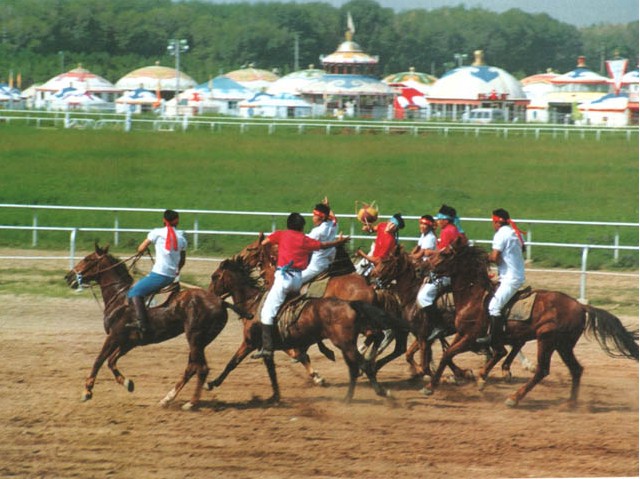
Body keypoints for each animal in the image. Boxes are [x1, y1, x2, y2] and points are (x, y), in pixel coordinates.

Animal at [64, 246, 250, 410]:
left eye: (87, 259)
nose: (68, 276)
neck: (120, 299)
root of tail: (221, 301)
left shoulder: (114, 336)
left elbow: (99, 360)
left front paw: (87, 391)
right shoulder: (129, 342)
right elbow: (111, 361)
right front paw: (127, 383)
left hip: (195, 338)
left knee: (201, 369)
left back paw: (191, 403)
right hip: (201, 341)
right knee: (192, 368)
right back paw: (167, 399)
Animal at [206, 255, 400, 404]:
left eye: (215, 276)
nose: (209, 295)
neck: (253, 305)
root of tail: (350, 303)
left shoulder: (249, 343)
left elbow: (232, 363)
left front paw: (212, 383)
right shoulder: (270, 348)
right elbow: (273, 371)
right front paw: (275, 396)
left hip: (346, 342)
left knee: (365, 359)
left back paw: (380, 389)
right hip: (350, 340)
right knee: (361, 358)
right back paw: (350, 395)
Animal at [422, 240, 636, 408]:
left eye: (444, 253)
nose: (424, 266)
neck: (473, 296)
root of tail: (581, 306)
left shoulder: (472, 337)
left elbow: (449, 354)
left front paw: (431, 387)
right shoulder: (463, 334)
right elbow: (449, 354)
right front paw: (472, 376)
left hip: (546, 340)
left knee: (543, 370)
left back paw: (514, 398)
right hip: (563, 345)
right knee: (576, 369)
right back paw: (571, 403)